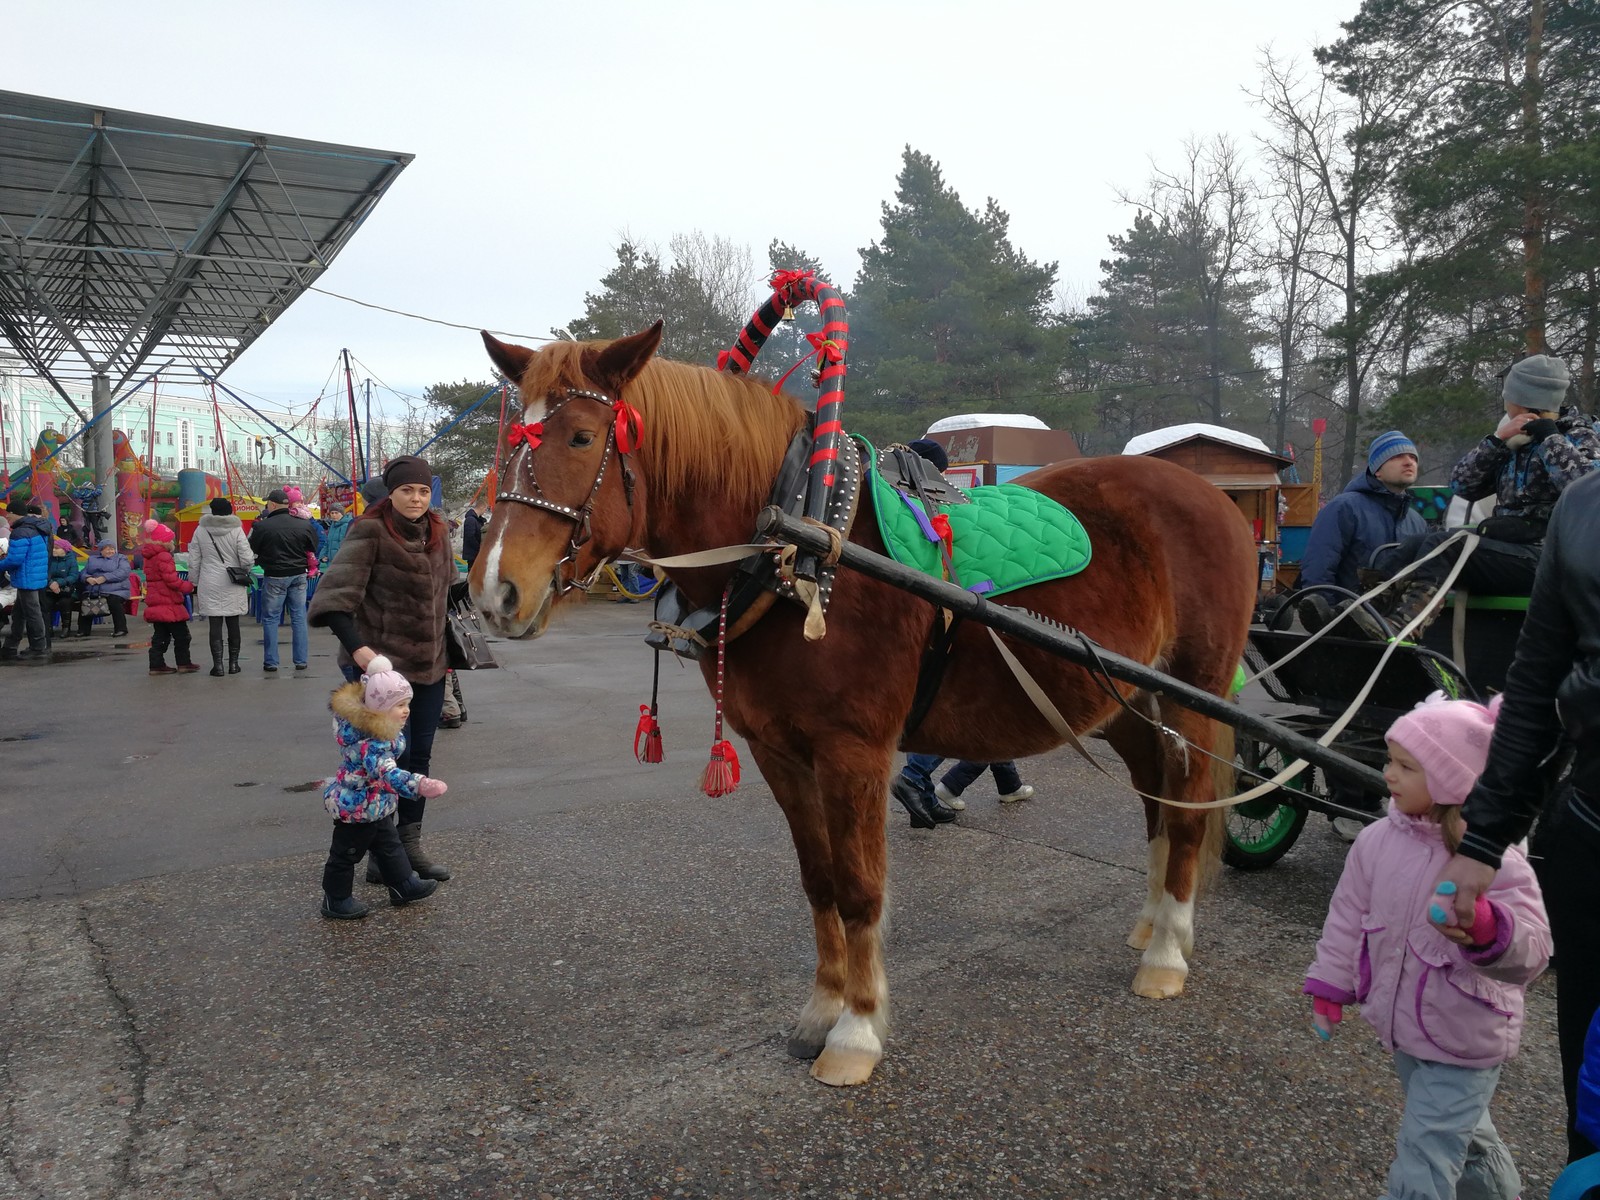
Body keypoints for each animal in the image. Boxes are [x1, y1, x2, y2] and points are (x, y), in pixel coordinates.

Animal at [473, 320, 1260, 1088]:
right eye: (508, 444)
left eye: (581, 437)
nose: (494, 592)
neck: (800, 545)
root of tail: (1217, 499)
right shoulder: (779, 751)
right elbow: (818, 880)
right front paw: (822, 1010)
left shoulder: (854, 751)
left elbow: (858, 888)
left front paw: (855, 1032)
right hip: (1124, 701)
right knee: (1158, 799)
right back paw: (1154, 922)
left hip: (1192, 696)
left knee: (1188, 809)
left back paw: (1166, 953)